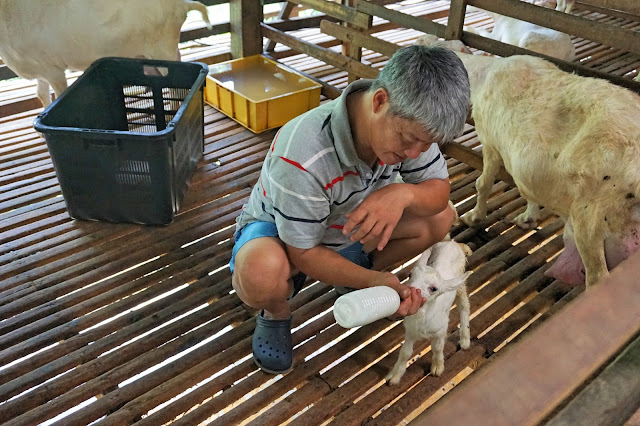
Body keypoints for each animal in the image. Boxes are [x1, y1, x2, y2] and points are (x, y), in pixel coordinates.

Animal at [0, 0, 212, 106]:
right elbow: (41, 94)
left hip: (162, 49)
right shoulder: (39, 68)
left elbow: (58, 94)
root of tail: (182, 4)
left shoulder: (53, 70)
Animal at [382, 240, 472, 386]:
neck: (421, 317)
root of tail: (452, 242)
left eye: (433, 288)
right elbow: (405, 352)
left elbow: (437, 347)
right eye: (410, 275)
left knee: (464, 306)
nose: (407, 292)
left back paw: (465, 339)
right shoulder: (410, 331)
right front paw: (394, 376)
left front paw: (437, 367)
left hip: (460, 283)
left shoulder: (440, 330)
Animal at [418, 35, 640, 288]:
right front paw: (528, 217)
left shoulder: (490, 142)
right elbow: (527, 190)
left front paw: (474, 216)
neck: (482, 74)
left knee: (597, 277)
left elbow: (483, 184)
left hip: (590, 217)